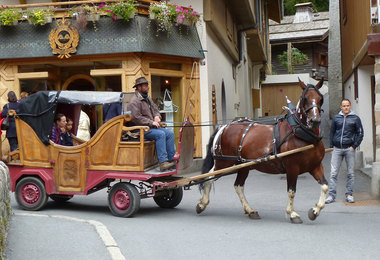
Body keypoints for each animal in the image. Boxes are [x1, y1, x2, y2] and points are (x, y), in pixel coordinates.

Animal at [196, 79, 326, 223]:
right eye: (304, 98)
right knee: (208, 177)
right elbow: (292, 191)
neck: (301, 135)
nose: (315, 120)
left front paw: (315, 210)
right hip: (223, 163)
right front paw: (292, 213)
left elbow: (325, 186)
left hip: (243, 165)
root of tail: (225, 126)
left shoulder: (315, 166)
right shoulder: (292, 168)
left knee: (238, 185)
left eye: (321, 98)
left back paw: (250, 210)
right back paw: (202, 204)